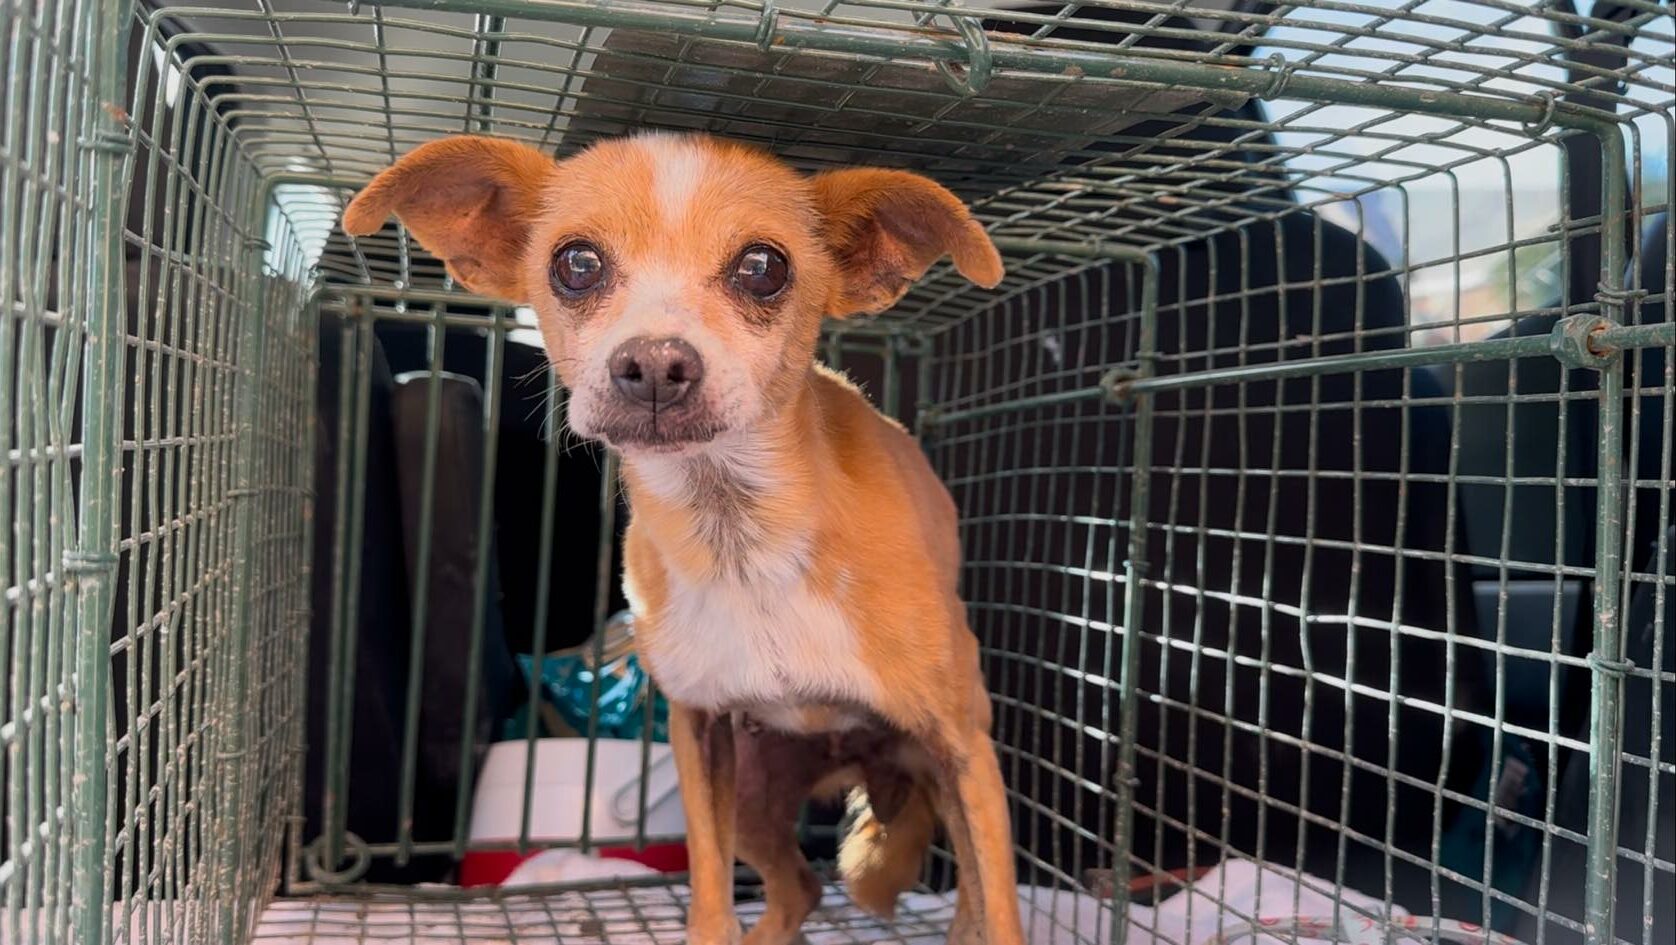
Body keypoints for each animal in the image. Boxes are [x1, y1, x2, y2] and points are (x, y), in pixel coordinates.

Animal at [343, 133, 1019, 945]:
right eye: (577, 263)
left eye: (763, 267)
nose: (656, 364)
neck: (738, 533)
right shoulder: (702, 736)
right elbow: (708, 898)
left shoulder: (964, 749)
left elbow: (1000, 914)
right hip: (754, 792)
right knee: (799, 888)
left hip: (935, 777)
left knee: (964, 901)